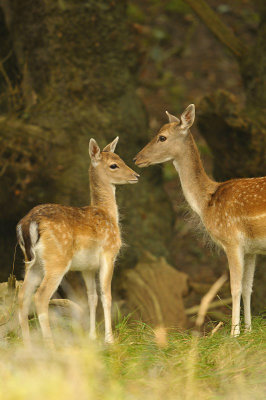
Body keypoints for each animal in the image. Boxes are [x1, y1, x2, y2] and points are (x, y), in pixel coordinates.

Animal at [16, 137, 139, 344]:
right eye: (114, 165)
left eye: (120, 158)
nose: (136, 175)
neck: (109, 215)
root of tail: (28, 223)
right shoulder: (109, 254)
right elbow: (107, 296)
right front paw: (109, 339)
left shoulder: (87, 267)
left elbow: (92, 297)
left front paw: (92, 336)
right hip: (57, 260)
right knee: (40, 297)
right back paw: (49, 343)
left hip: (32, 263)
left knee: (22, 296)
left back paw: (28, 344)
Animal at [135, 104, 266, 336]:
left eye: (162, 137)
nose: (136, 158)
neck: (206, 202)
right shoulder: (251, 249)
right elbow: (248, 287)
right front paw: (249, 332)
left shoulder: (232, 241)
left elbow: (234, 287)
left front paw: (234, 334)